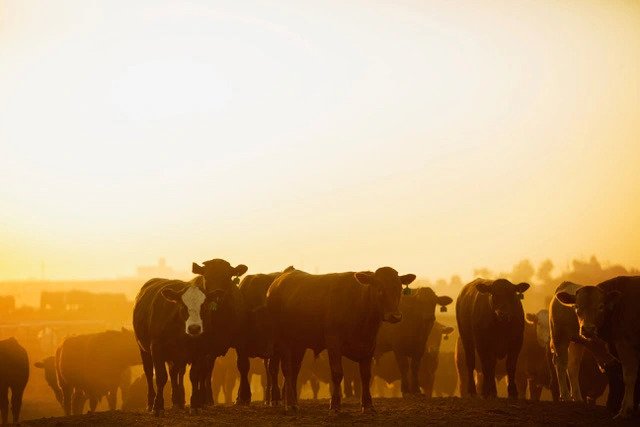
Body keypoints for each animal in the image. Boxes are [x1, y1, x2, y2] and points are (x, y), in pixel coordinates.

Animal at [132, 276, 225, 416]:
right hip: (144, 350)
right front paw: (157, 407)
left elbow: (194, 376)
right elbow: (160, 377)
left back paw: (177, 402)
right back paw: (150, 402)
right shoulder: (156, 347)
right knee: (149, 373)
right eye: (183, 305)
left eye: (204, 306)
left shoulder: (200, 350)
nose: (194, 328)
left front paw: (194, 406)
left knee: (173, 373)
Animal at [264, 266, 416, 412]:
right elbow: (337, 373)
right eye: (379, 289)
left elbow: (366, 375)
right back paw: (284, 402)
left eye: (399, 288)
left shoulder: (369, 345)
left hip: (299, 344)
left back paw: (293, 402)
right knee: (283, 369)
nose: (395, 316)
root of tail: (282, 277)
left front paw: (368, 405)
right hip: (282, 340)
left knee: (294, 370)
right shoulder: (333, 342)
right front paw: (335, 405)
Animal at [556, 276, 640, 420]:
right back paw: (567, 396)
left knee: (571, 366)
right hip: (561, 338)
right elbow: (629, 376)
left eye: (601, 306)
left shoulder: (624, 346)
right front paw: (626, 410)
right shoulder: (622, 345)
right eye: (576, 307)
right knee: (562, 364)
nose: (587, 329)